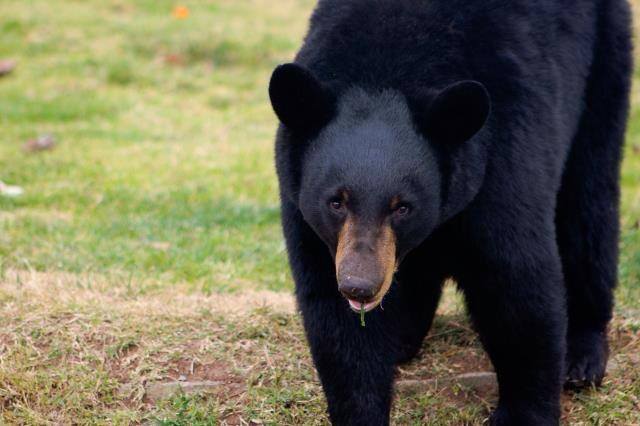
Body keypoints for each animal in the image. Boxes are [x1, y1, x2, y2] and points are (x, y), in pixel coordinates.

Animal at [268, 0, 632, 422]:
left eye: (403, 207)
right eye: (336, 201)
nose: (360, 286)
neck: (386, 71)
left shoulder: (501, 160)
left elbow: (516, 281)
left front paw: (524, 412)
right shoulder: (304, 211)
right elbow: (334, 315)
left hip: (604, 66)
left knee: (587, 206)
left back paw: (582, 355)